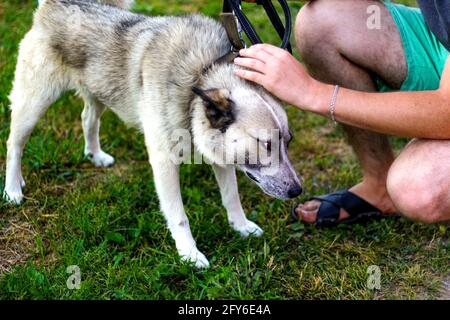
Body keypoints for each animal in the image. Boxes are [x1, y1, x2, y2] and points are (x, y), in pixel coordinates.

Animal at [3, 0, 300, 268]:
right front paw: (189, 254)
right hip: (34, 103)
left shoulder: (219, 154)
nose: (298, 190)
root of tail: (52, 5)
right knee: (14, 144)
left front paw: (240, 227)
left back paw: (95, 155)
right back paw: (12, 188)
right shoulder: (164, 163)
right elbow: (179, 216)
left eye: (288, 141)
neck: (200, 75)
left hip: (99, 91)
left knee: (87, 118)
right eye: (266, 144)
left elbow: (231, 196)